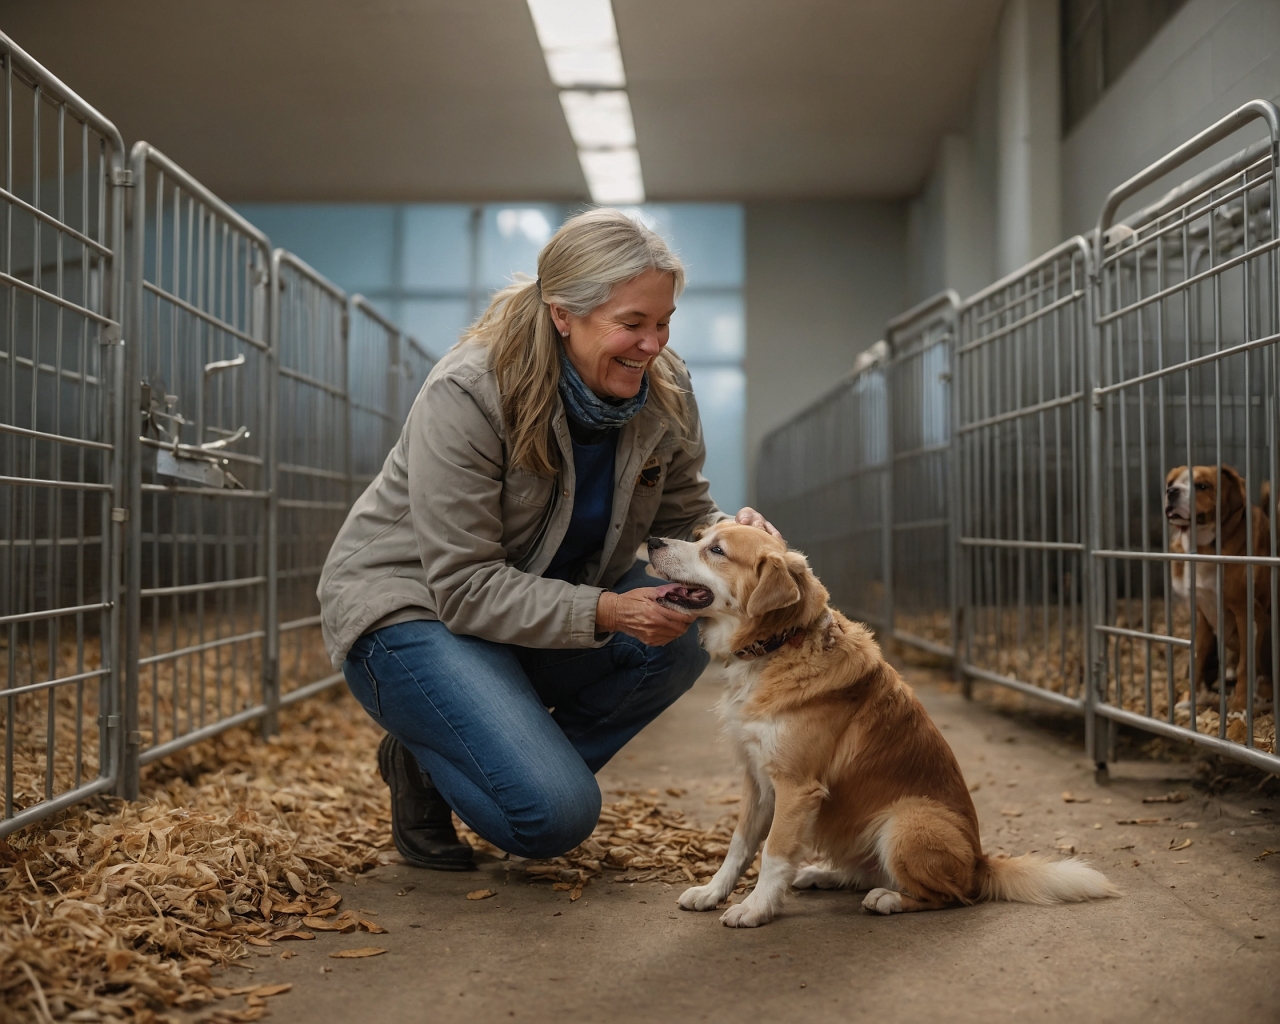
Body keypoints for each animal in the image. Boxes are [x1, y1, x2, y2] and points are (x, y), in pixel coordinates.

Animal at [645, 524, 1116, 931]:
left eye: (716, 550)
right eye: (700, 536)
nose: (651, 540)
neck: (780, 643)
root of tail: (980, 862)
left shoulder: (796, 787)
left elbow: (774, 852)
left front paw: (756, 908)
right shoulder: (757, 780)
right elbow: (739, 845)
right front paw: (711, 892)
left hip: (906, 821)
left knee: (951, 896)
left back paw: (888, 899)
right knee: (871, 873)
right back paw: (822, 874)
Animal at [1172, 465, 1269, 711]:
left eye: (1202, 486)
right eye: (1171, 482)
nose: (1171, 491)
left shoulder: (1249, 616)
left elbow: (1246, 667)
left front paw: (1240, 707)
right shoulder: (1203, 618)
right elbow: (1197, 661)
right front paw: (1189, 700)